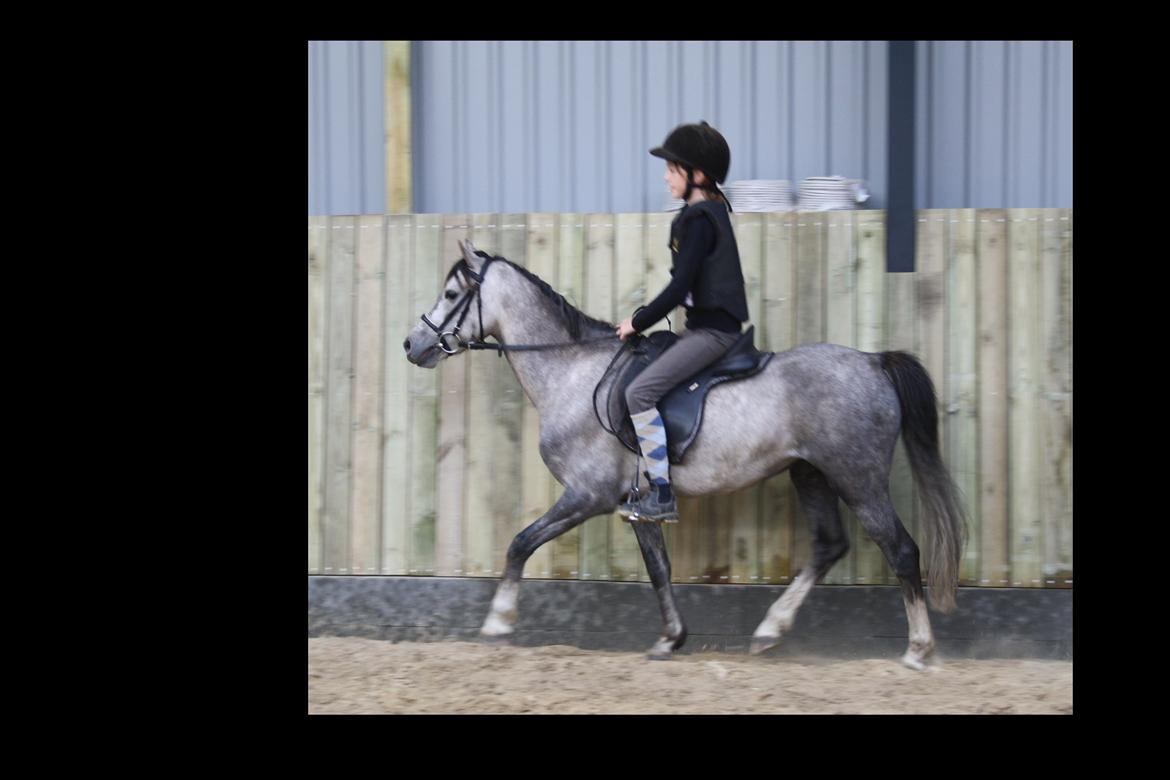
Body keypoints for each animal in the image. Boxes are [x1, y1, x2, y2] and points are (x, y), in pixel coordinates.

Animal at [403, 239, 968, 670]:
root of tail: (874, 362)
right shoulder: (636, 504)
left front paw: (498, 621)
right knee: (829, 546)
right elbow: (659, 569)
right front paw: (670, 638)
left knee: (902, 550)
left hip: (857, 478)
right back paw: (770, 629)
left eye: (451, 293)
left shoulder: (587, 495)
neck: (572, 371)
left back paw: (918, 650)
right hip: (809, 474)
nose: (412, 345)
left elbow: (520, 543)